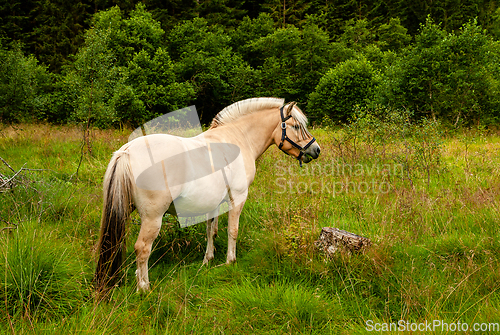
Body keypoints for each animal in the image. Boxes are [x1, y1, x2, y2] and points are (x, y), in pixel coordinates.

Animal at [94, 97, 320, 294]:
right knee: (142, 248)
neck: (239, 139)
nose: (316, 150)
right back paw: (144, 288)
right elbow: (232, 230)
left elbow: (211, 230)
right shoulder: (237, 197)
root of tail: (127, 151)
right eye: (296, 126)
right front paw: (230, 261)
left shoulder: (214, 202)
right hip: (152, 218)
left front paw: (208, 259)